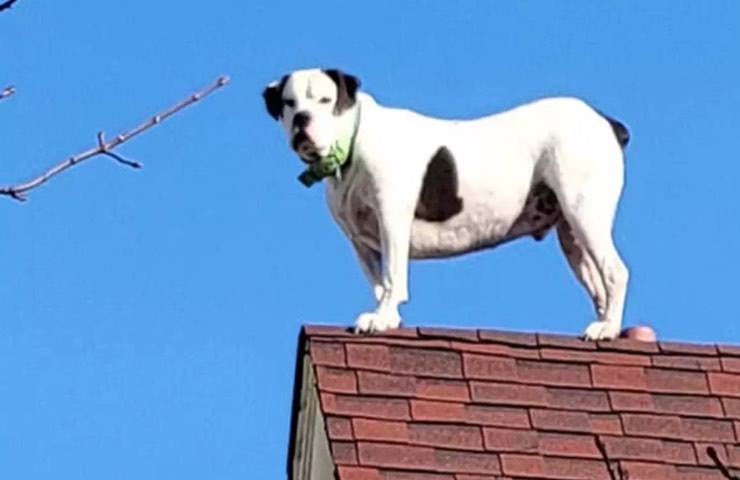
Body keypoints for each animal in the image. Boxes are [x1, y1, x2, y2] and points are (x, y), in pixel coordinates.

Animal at [262, 68, 632, 342]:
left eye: (326, 100)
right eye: (289, 103)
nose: (302, 119)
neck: (354, 142)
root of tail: (606, 122)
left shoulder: (391, 219)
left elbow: (392, 276)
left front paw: (382, 319)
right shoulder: (361, 241)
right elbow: (380, 283)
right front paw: (387, 316)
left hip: (584, 212)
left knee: (615, 272)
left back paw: (608, 329)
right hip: (571, 234)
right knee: (599, 286)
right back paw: (603, 325)